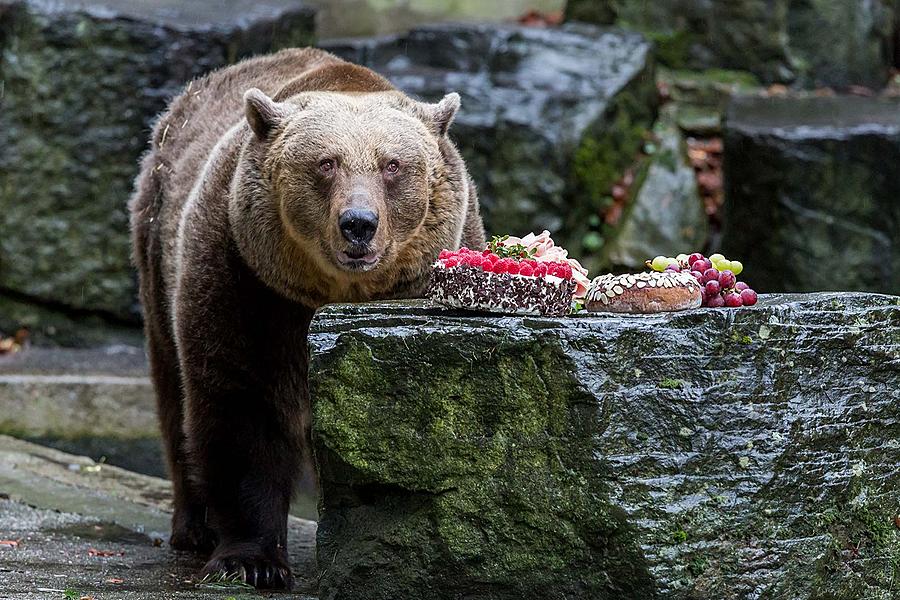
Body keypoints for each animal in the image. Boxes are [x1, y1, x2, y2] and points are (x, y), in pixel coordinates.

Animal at [128, 48, 486, 592]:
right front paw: (251, 561)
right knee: (173, 390)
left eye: (392, 165)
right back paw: (193, 529)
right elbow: (241, 406)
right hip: (157, 245)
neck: (328, 294)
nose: (359, 224)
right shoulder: (247, 279)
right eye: (325, 163)